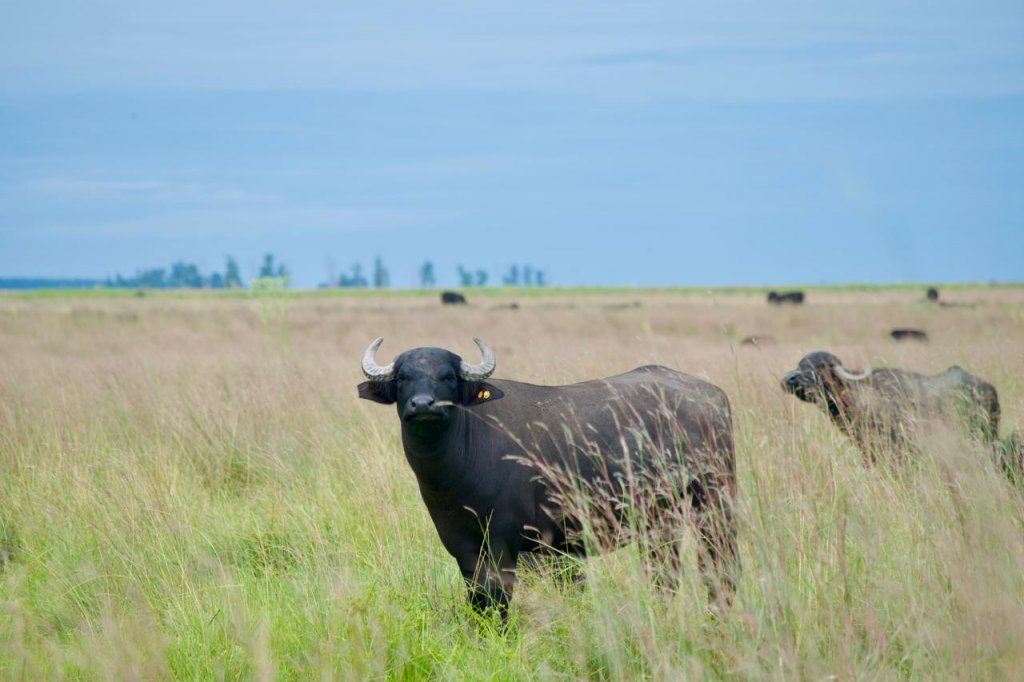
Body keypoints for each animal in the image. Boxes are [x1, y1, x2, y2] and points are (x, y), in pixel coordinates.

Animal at [358, 337, 737, 614]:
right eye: (403, 377)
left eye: (448, 377)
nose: (423, 405)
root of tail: (712, 396)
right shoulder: (462, 547)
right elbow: (478, 603)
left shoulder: (503, 545)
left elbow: (499, 603)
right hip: (660, 520)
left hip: (716, 508)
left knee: (721, 565)